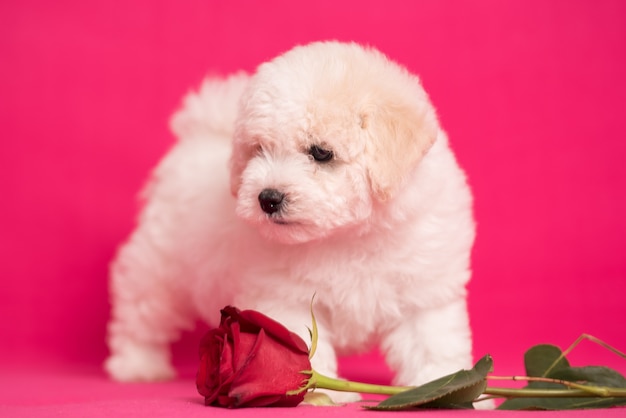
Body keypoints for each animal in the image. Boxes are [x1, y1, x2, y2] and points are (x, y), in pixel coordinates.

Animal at [106, 40, 472, 400]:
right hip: (161, 265)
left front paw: (441, 383)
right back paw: (137, 364)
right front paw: (319, 391)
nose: (267, 198)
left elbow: (431, 341)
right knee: (141, 311)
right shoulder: (285, 296)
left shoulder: (423, 289)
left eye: (321, 152)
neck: (348, 235)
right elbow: (300, 345)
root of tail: (198, 136)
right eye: (258, 150)